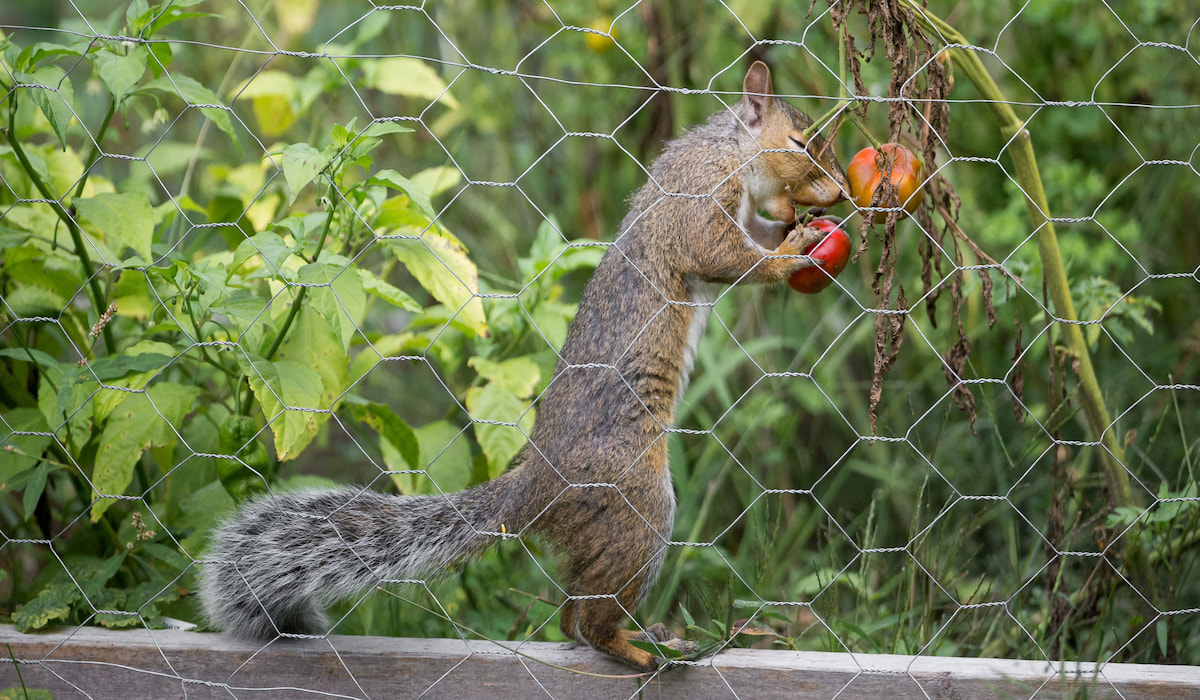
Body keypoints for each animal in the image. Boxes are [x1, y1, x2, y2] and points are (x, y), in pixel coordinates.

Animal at [201, 61, 849, 672]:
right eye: (800, 141)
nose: (841, 193)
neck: (728, 151)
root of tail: (539, 484)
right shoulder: (695, 199)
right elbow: (721, 254)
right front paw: (792, 250)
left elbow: (750, 235)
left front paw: (794, 228)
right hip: (634, 505)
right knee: (589, 621)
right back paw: (641, 652)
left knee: (571, 617)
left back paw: (648, 638)